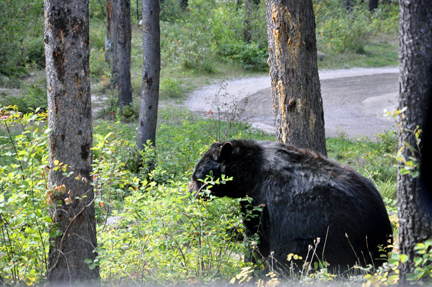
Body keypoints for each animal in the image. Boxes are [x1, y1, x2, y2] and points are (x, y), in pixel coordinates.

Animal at [189, 141, 392, 276]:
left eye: (197, 176)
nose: (191, 193)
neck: (248, 172)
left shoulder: (262, 200)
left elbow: (257, 237)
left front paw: (251, 268)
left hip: (327, 234)